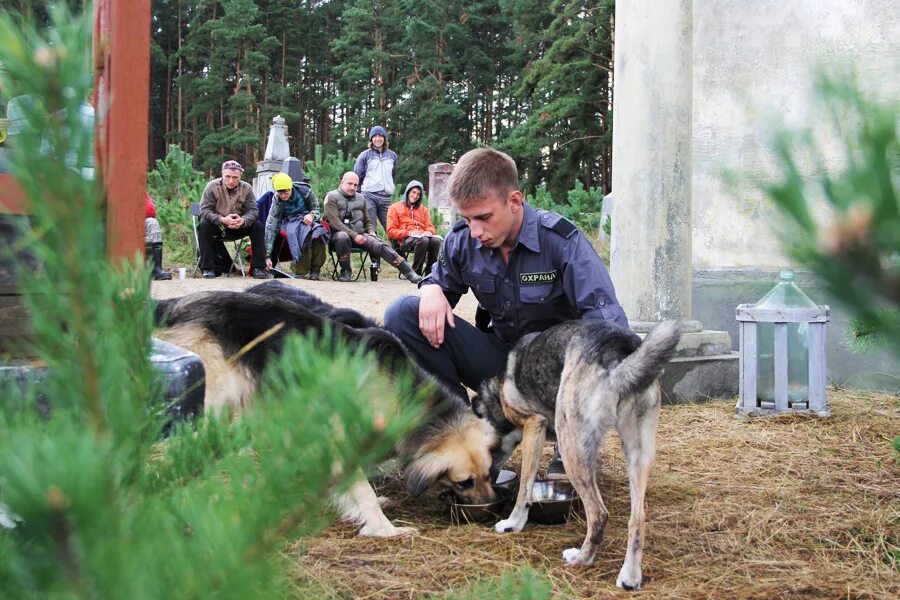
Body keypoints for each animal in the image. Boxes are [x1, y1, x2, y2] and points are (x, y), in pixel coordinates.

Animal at [154, 282, 500, 540]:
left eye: (488, 474)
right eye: (464, 482)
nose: (490, 512)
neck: (397, 392)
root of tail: (177, 304)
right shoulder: (335, 439)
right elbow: (362, 490)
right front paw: (384, 528)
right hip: (212, 407)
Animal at [474, 318, 680, 592]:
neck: (497, 391)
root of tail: (617, 347)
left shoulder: (534, 426)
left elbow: (524, 490)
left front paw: (513, 523)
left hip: (571, 443)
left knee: (599, 515)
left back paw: (581, 558)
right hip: (637, 452)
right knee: (637, 518)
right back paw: (629, 577)